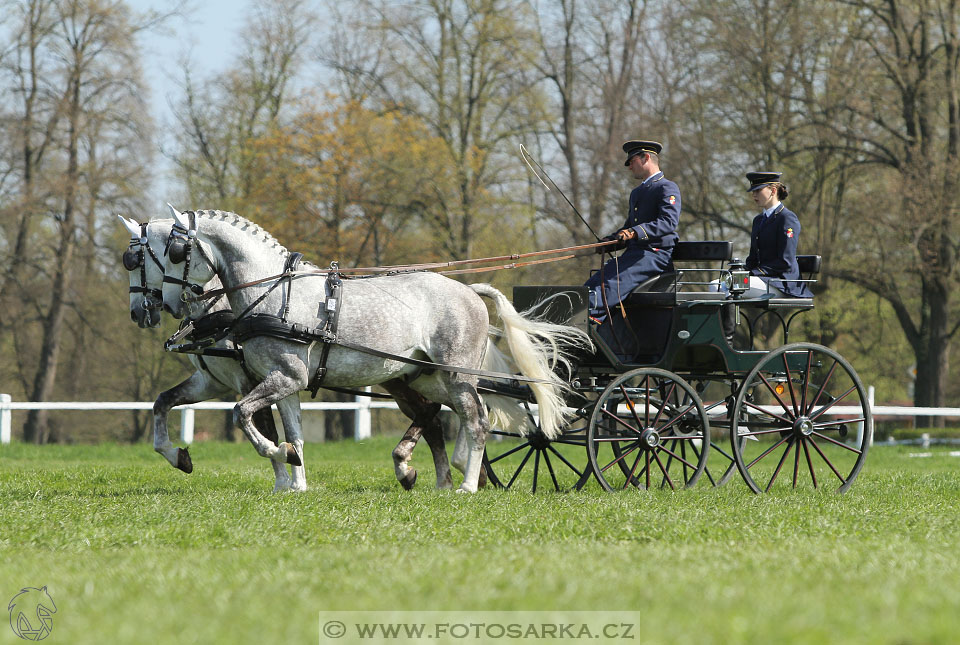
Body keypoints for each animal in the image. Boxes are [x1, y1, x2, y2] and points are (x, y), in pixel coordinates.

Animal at [160, 209, 588, 490]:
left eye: (172, 252)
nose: (161, 304)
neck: (273, 295)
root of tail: (469, 290)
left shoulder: (277, 377)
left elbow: (244, 415)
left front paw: (280, 460)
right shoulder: (272, 380)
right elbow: (288, 430)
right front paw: (292, 475)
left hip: (455, 373)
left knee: (476, 419)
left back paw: (465, 483)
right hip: (426, 377)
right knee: (458, 413)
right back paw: (444, 477)